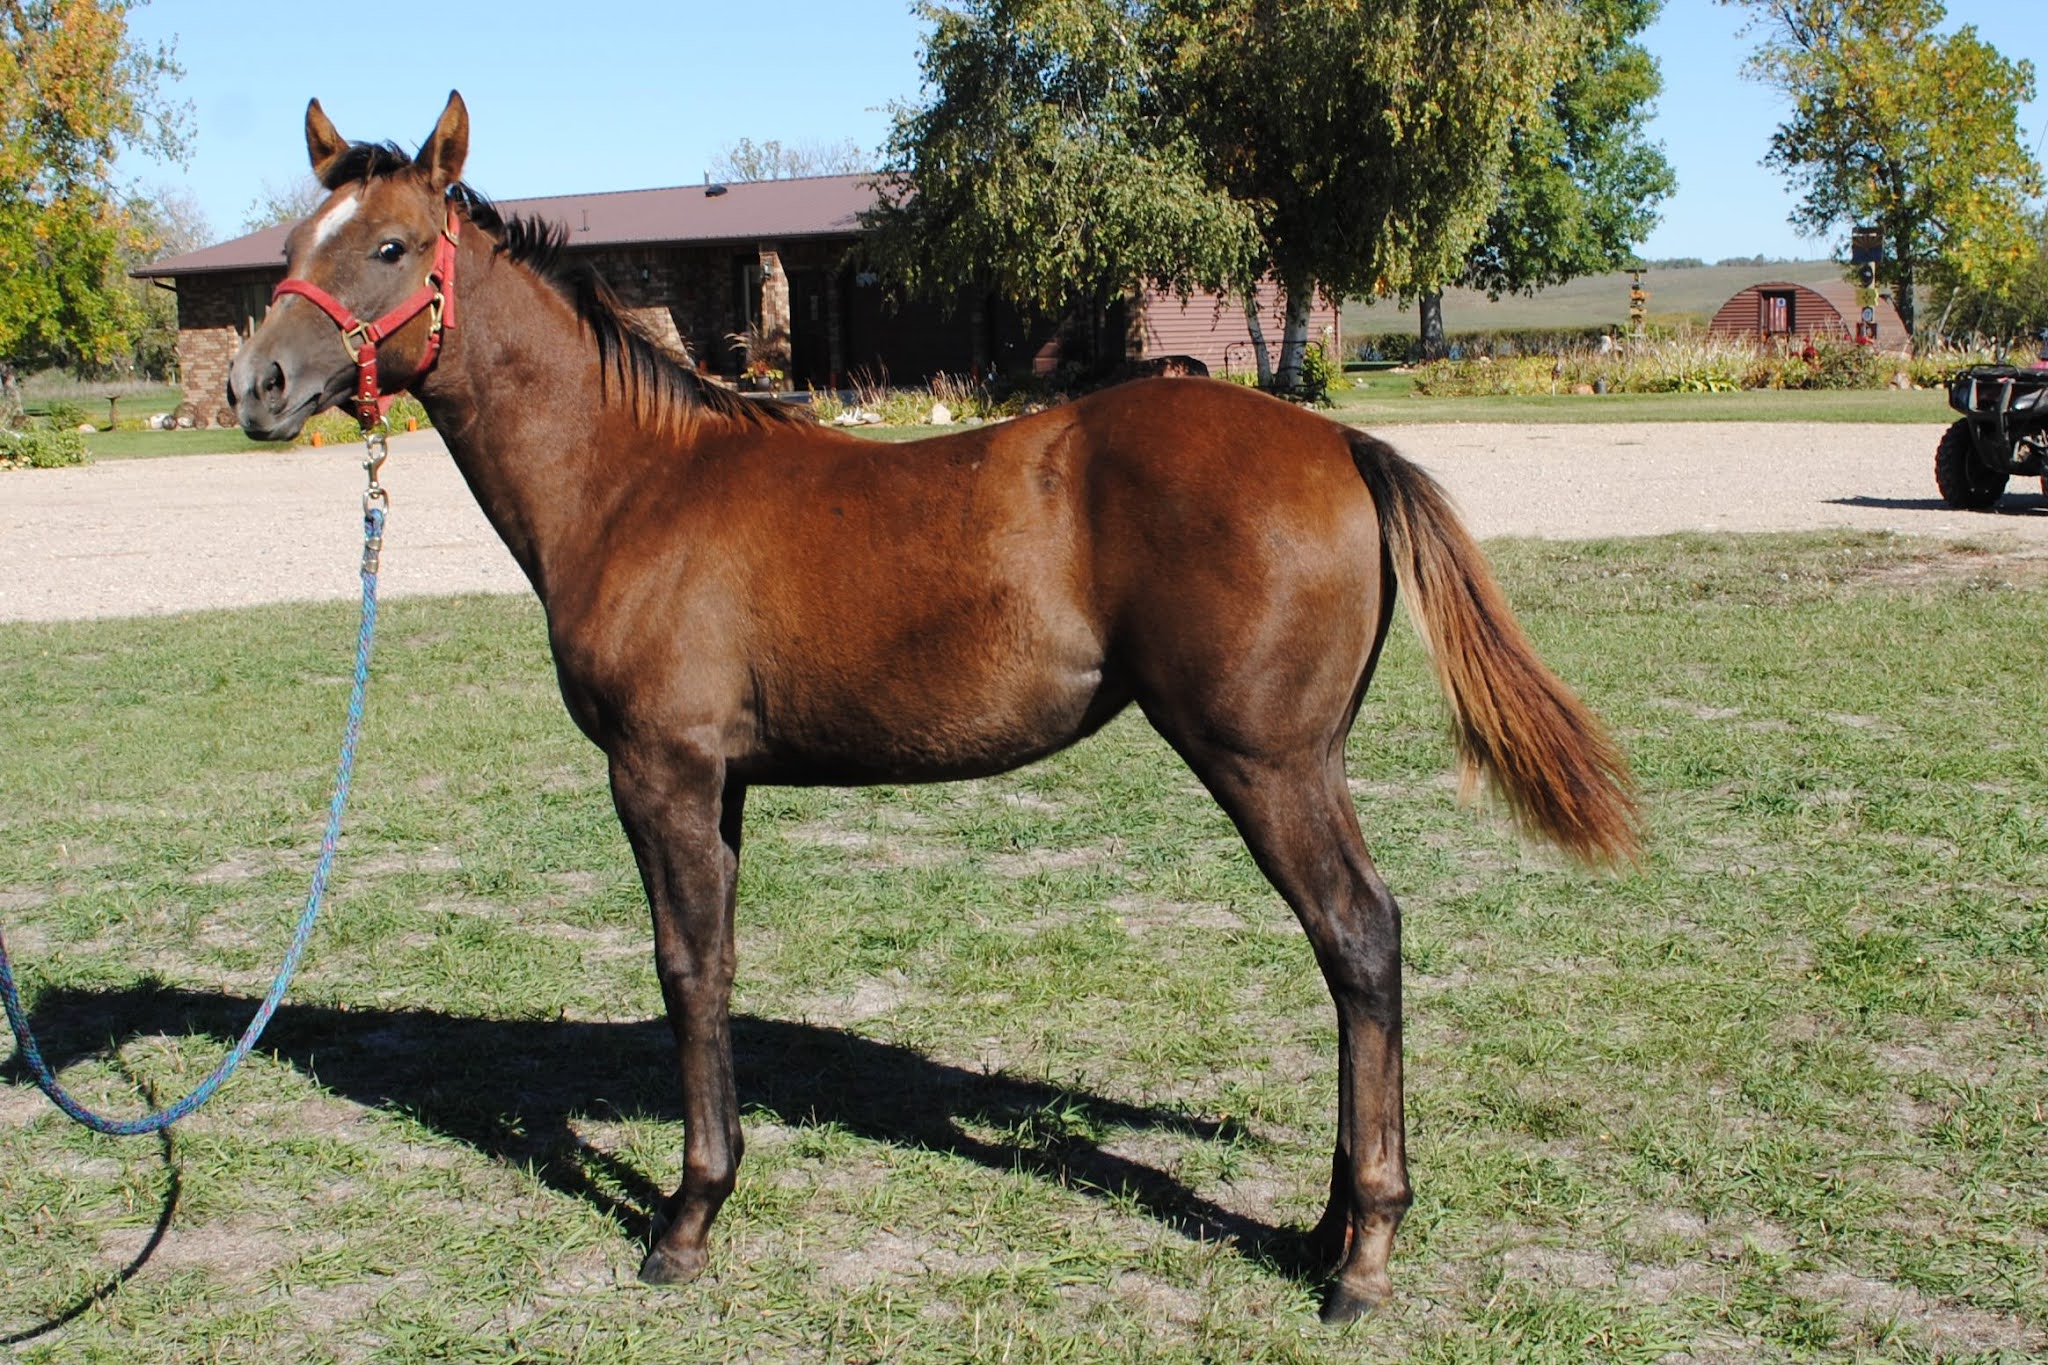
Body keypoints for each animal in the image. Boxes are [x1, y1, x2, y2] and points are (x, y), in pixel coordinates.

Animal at [228, 91, 1639, 1324]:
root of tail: (1341, 442)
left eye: (390, 246)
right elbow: (718, 962)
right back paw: (1327, 1230)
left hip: (1266, 761)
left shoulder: (658, 770)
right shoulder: (721, 783)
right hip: (1306, 760)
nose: (256, 387)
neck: (635, 485)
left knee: (1358, 937)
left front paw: (684, 1224)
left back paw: (1363, 1259)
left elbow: (682, 966)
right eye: (290, 249)